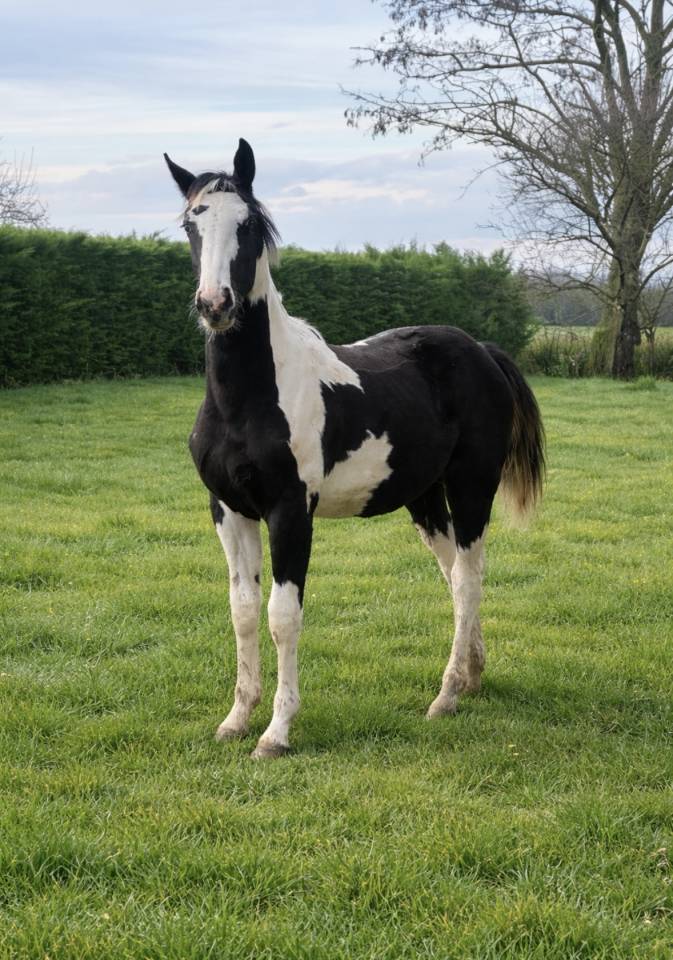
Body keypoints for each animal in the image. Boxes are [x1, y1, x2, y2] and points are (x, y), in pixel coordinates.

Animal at [164, 139, 545, 759]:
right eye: (190, 223)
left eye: (248, 225)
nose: (215, 304)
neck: (248, 399)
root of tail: (481, 350)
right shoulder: (228, 511)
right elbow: (242, 612)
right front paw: (236, 719)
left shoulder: (290, 513)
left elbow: (283, 616)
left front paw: (276, 733)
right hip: (424, 498)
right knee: (455, 578)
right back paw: (471, 675)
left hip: (471, 487)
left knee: (469, 577)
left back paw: (446, 697)